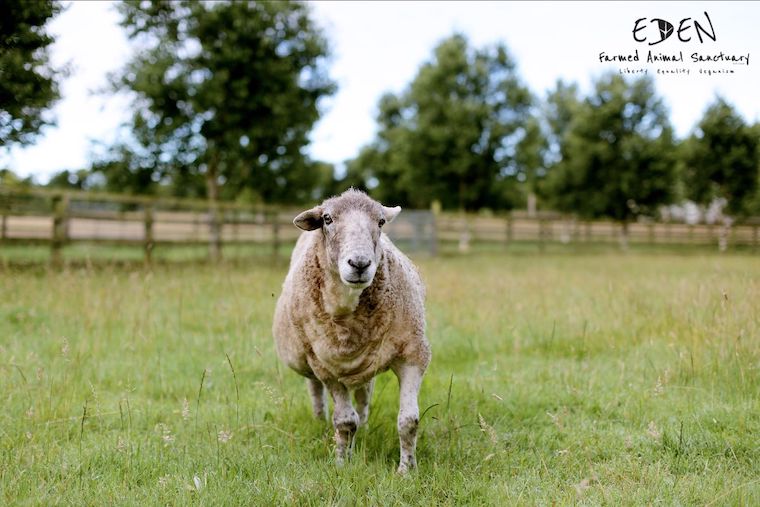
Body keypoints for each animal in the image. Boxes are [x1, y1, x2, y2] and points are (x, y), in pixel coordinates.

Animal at [272, 189, 431, 474]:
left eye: (381, 221)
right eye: (327, 219)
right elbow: (345, 421)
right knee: (316, 392)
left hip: (366, 366)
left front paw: (406, 470)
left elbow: (409, 421)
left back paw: (364, 427)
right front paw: (341, 463)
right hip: (310, 360)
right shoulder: (326, 368)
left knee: (363, 397)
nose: (359, 263)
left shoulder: (413, 354)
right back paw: (320, 421)